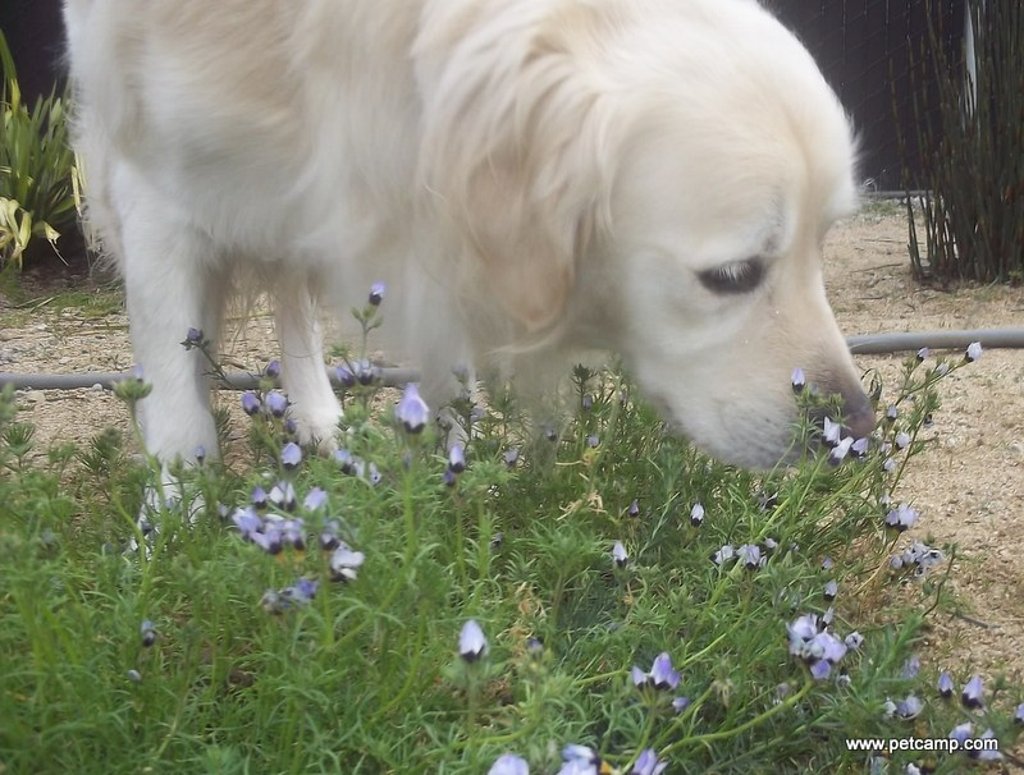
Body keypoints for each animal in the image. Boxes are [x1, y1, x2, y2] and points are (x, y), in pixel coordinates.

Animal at [61, 0, 872, 470]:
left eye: (822, 246)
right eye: (733, 276)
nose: (858, 431)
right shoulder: (152, 188)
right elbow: (179, 416)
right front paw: (166, 544)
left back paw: (320, 416)